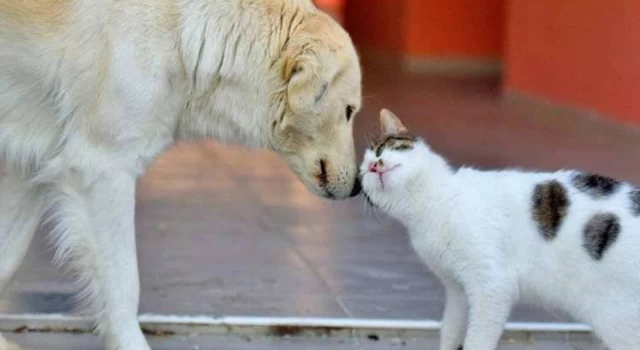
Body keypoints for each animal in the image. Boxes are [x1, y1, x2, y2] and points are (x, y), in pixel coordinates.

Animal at [0, 1, 362, 348]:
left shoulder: (29, 163)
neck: (184, 30)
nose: (359, 187)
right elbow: (123, 287)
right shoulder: (103, 170)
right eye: (349, 111)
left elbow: (8, 256)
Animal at [360, 109, 640, 350]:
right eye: (363, 175)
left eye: (382, 149)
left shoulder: (492, 285)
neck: (428, 205)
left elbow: (477, 341)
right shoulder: (458, 290)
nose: (374, 166)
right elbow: (450, 331)